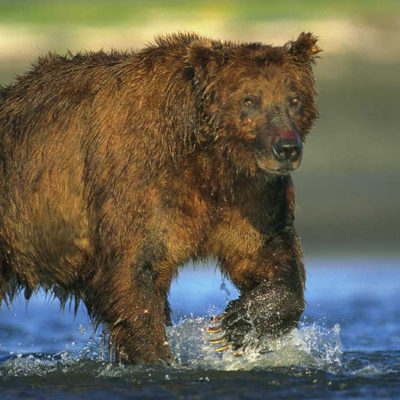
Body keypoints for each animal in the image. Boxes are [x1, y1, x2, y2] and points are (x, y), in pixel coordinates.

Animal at [0, 32, 320, 364]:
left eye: (294, 98)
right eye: (250, 100)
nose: (286, 148)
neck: (208, 163)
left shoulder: (250, 197)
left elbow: (268, 253)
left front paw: (238, 324)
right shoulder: (135, 185)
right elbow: (133, 275)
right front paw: (157, 357)